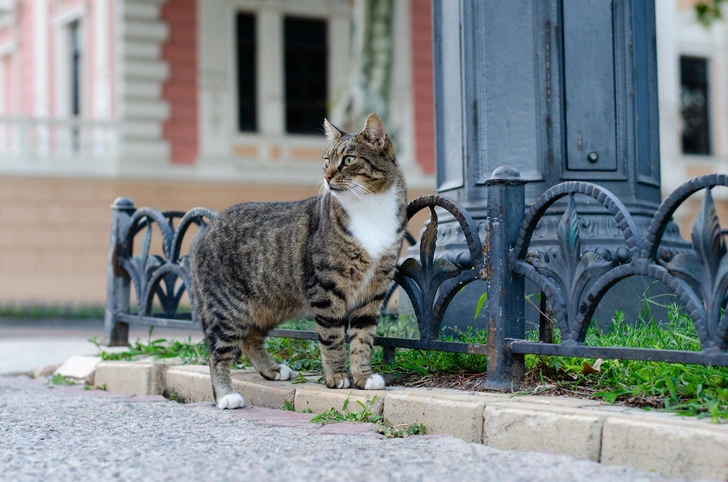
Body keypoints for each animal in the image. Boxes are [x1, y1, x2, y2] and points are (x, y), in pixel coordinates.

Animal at [191, 114, 406, 410]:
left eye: (348, 159)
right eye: (326, 161)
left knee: (250, 340)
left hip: (268, 304)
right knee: (217, 354)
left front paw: (363, 377)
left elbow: (363, 338)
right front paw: (338, 377)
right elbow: (332, 337)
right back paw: (226, 395)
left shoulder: (374, 290)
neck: (370, 208)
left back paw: (272, 370)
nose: (326, 176)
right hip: (228, 307)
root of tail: (206, 228)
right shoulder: (326, 288)